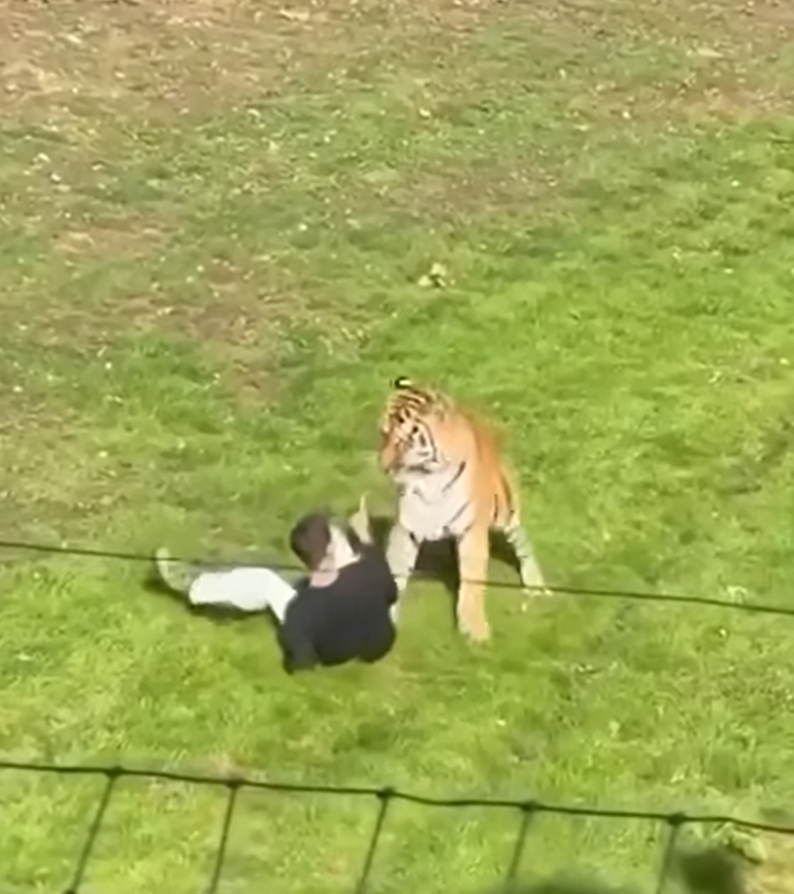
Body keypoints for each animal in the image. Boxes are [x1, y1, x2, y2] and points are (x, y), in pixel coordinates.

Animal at [376, 376, 550, 642]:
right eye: (383, 434)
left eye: (404, 441)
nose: (383, 466)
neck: (429, 478)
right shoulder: (407, 527)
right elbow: (396, 568)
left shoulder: (471, 530)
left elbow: (472, 580)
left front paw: (475, 631)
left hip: (506, 510)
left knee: (522, 543)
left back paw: (536, 584)